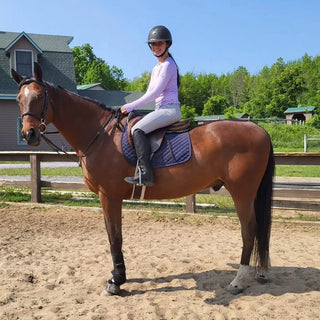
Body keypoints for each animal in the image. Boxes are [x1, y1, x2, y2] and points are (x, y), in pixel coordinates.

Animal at [11, 63, 274, 296]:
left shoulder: (109, 196)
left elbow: (114, 237)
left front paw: (116, 281)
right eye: (18, 99)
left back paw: (238, 281)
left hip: (242, 192)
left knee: (249, 230)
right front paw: (118, 276)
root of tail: (259, 130)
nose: (28, 134)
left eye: (40, 96)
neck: (101, 135)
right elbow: (114, 236)